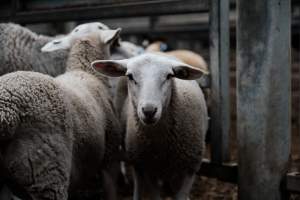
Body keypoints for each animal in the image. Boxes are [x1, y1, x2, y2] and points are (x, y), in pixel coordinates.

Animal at [91, 52, 209, 199]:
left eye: (169, 76)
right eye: (130, 76)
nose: (149, 111)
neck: (161, 144)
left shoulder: (189, 169)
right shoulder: (148, 169)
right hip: (136, 157)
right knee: (137, 179)